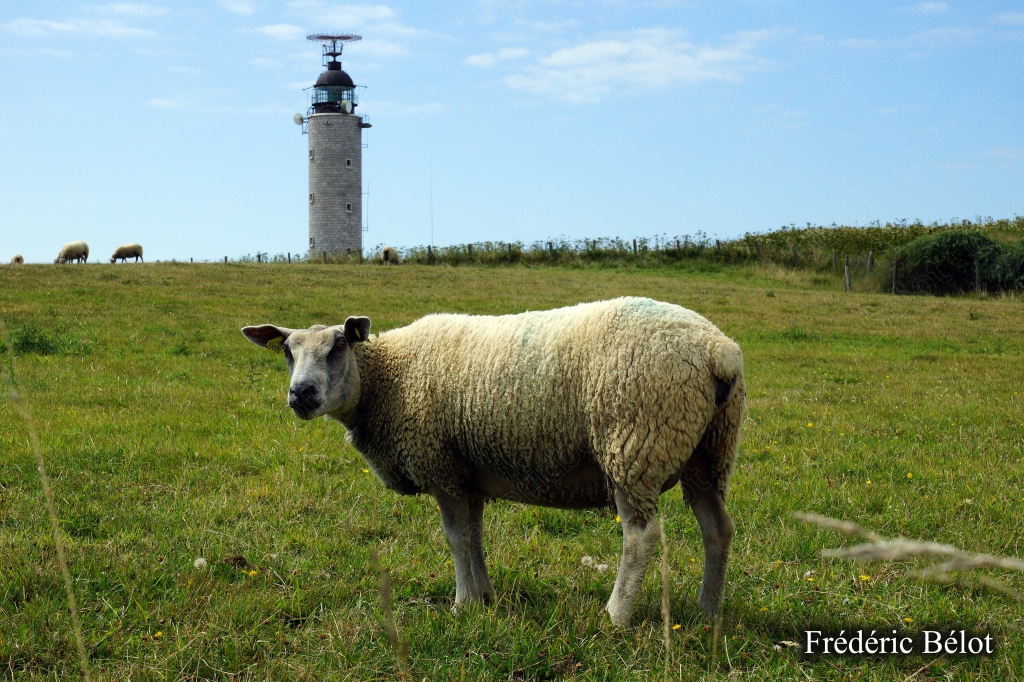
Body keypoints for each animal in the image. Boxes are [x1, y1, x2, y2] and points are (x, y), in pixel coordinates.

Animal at [241, 296, 745, 626]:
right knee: (717, 528)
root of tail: (719, 351)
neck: (387, 379)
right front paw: (484, 596)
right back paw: (708, 610)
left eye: (339, 347)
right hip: (708, 450)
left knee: (641, 538)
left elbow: (456, 538)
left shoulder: (441, 467)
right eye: (287, 351)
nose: (301, 395)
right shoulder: (467, 474)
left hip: (634, 442)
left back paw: (616, 615)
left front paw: (462, 604)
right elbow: (474, 536)